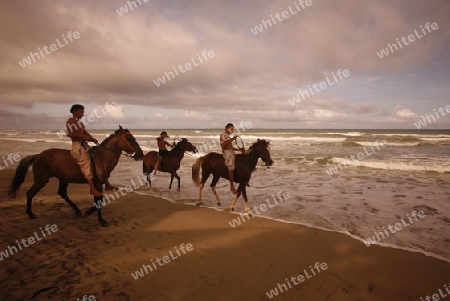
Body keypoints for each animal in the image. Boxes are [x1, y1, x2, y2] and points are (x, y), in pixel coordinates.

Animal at [7, 125, 143, 226]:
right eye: (130, 138)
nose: (140, 154)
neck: (102, 157)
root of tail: (38, 155)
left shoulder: (98, 183)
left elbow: (98, 200)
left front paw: (90, 213)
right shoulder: (97, 183)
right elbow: (99, 200)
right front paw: (99, 219)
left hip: (63, 179)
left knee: (62, 193)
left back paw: (77, 210)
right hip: (42, 179)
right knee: (30, 193)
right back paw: (30, 214)